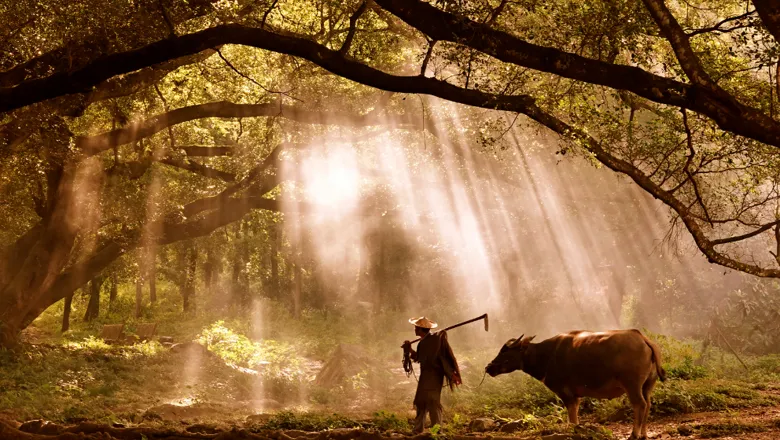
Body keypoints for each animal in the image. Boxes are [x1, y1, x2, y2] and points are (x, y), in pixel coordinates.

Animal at [488, 330, 664, 440]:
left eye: (505, 351)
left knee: (640, 404)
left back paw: (634, 434)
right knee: (648, 404)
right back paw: (644, 434)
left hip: (632, 385)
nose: (489, 367)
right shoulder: (576, 395)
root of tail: (642, 338)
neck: (547, 355)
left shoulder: (566, 393)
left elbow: (572, 417)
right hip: (648, 385)